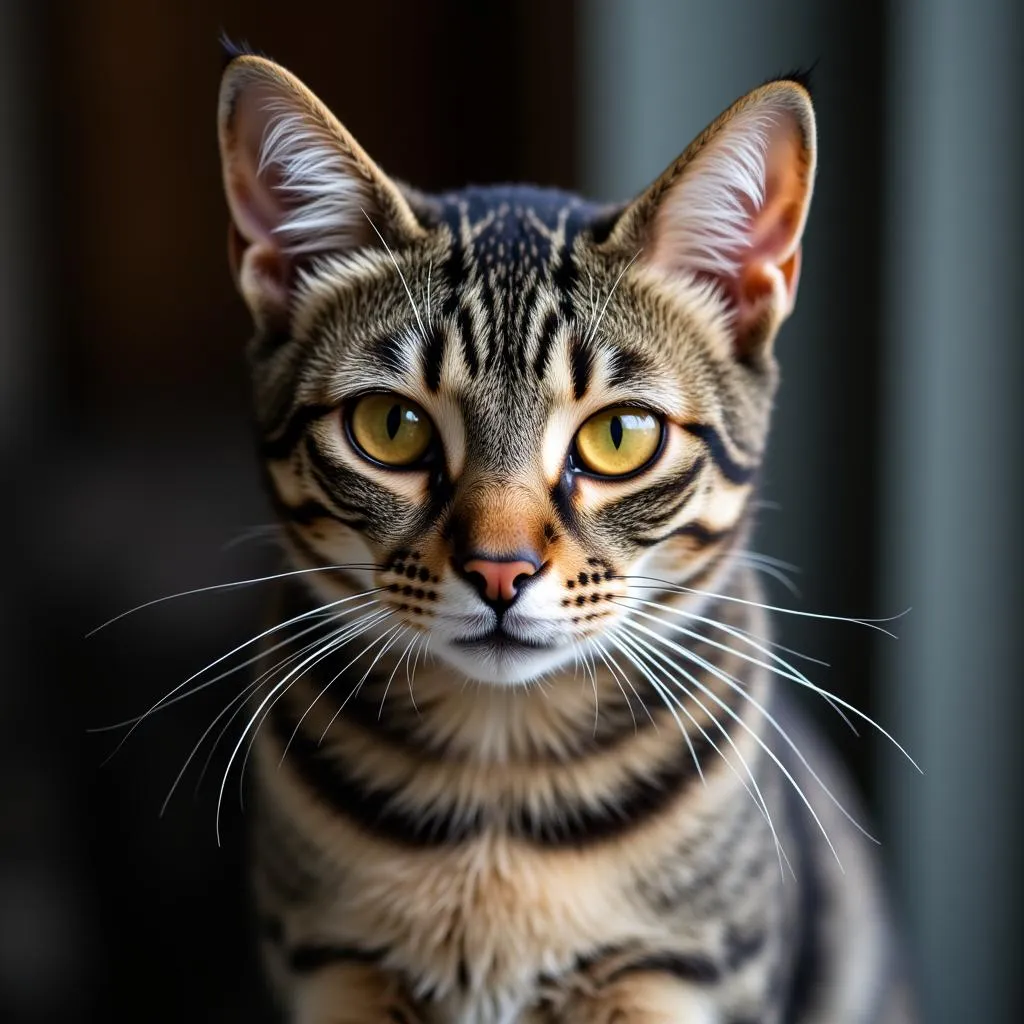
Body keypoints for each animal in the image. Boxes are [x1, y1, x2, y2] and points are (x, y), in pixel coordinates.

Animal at [214, 46, 913, 1024]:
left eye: (620, 435)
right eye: (392, 426)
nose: (499, 571)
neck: (498, 786)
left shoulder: (681, 973)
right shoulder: (331, 968)